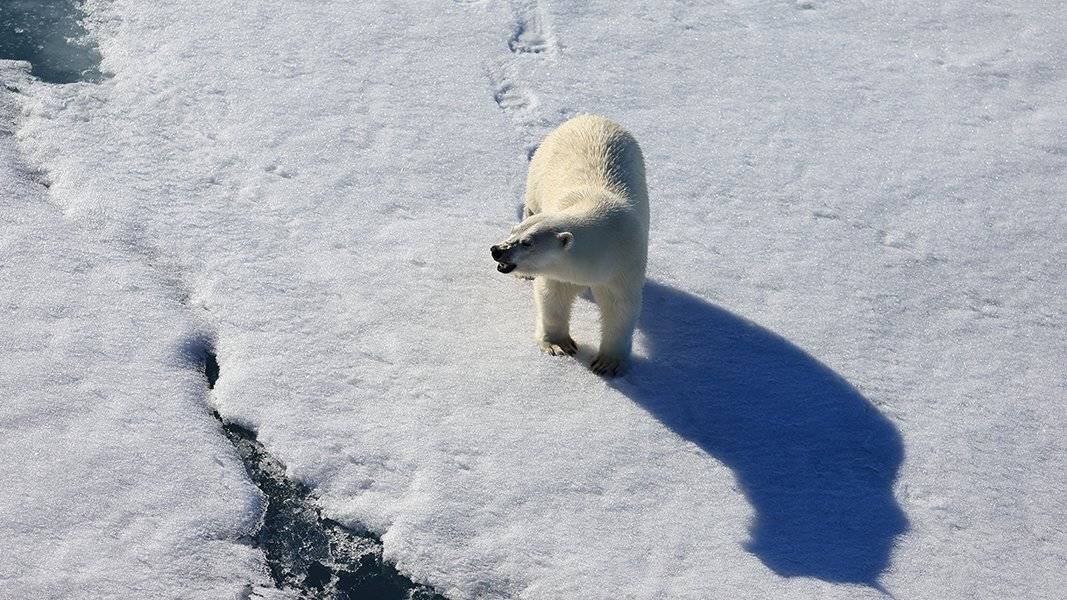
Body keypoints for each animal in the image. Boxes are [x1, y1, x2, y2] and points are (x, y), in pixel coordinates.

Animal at [490, 115, 649, 376]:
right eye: (513, 231)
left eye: (528, 242)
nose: (497, 251)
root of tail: (589, 117)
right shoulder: (559, 271)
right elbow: (552, 295)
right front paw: (558, 344)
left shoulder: (625, 261)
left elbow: (620, 306)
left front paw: (607, 363)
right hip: (538, 170)